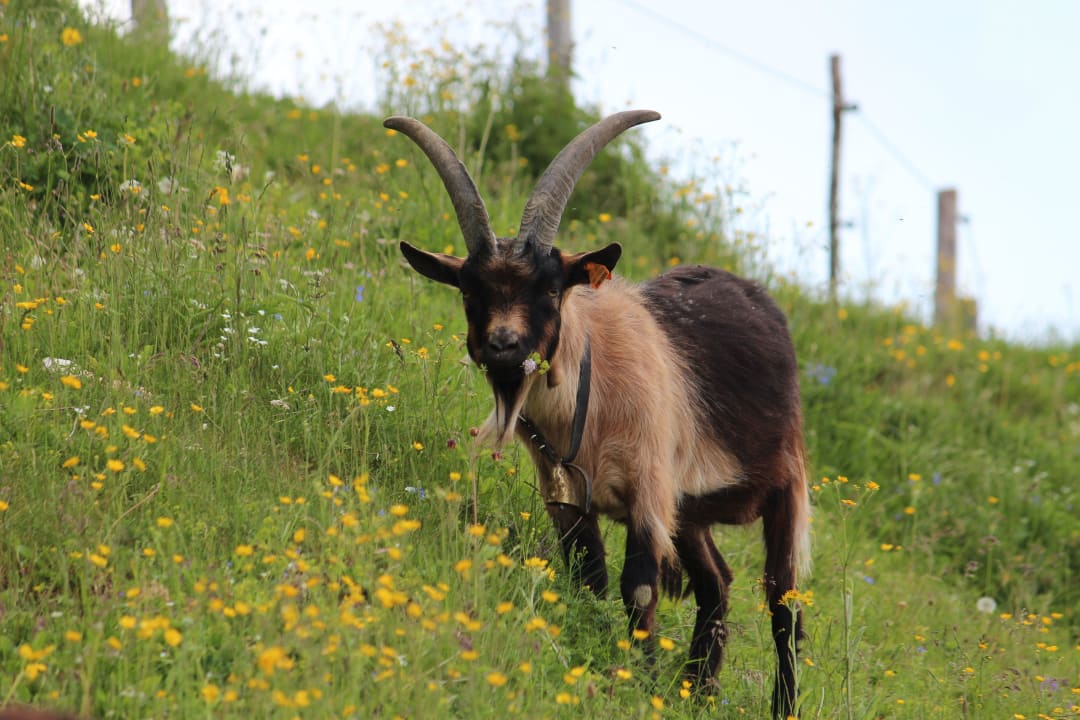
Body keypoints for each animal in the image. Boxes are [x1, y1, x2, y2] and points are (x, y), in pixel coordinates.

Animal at [387, 110, 811, 718]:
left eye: (549, 290)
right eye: (470, 291)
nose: (503, 347)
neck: (593, 392)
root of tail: (759, 298)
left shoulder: (648, 491)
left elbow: (639, 588)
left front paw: (639, 681)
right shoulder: (568, 497)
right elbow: (589, 579)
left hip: (785, 485)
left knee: (783, 603)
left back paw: (780, 704)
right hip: (692, 509)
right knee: (718, 582)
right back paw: (698, 691)